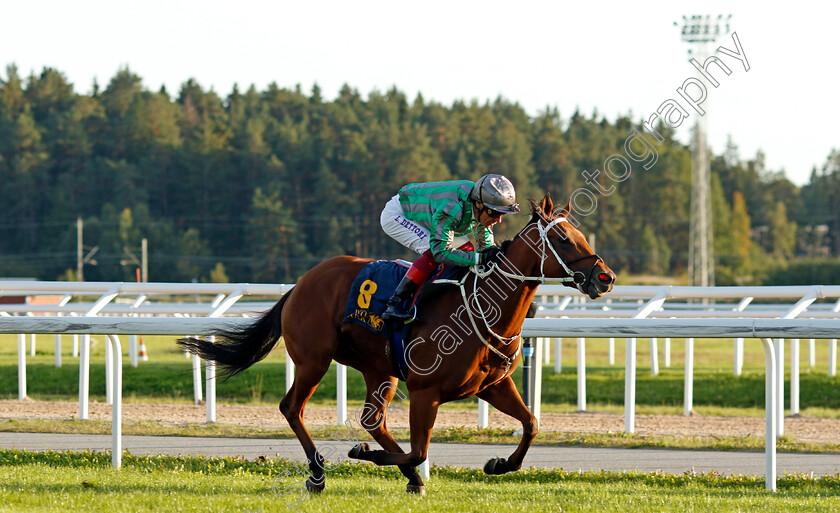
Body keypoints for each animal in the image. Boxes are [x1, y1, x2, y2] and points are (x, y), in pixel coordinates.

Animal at [179, 192, 612, 492]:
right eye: (563, 238)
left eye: (581, 234)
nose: (605, 277)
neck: (483, 308)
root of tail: (300, 284)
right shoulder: (425, 391)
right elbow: (420, 449)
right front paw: (366, 456)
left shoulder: (493, 385)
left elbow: (532, 424)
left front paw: (497, 464)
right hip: (314, 359)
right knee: (292, 408)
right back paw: (319, 473)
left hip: (379, 368)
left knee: (372, 419)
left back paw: (405, 475)